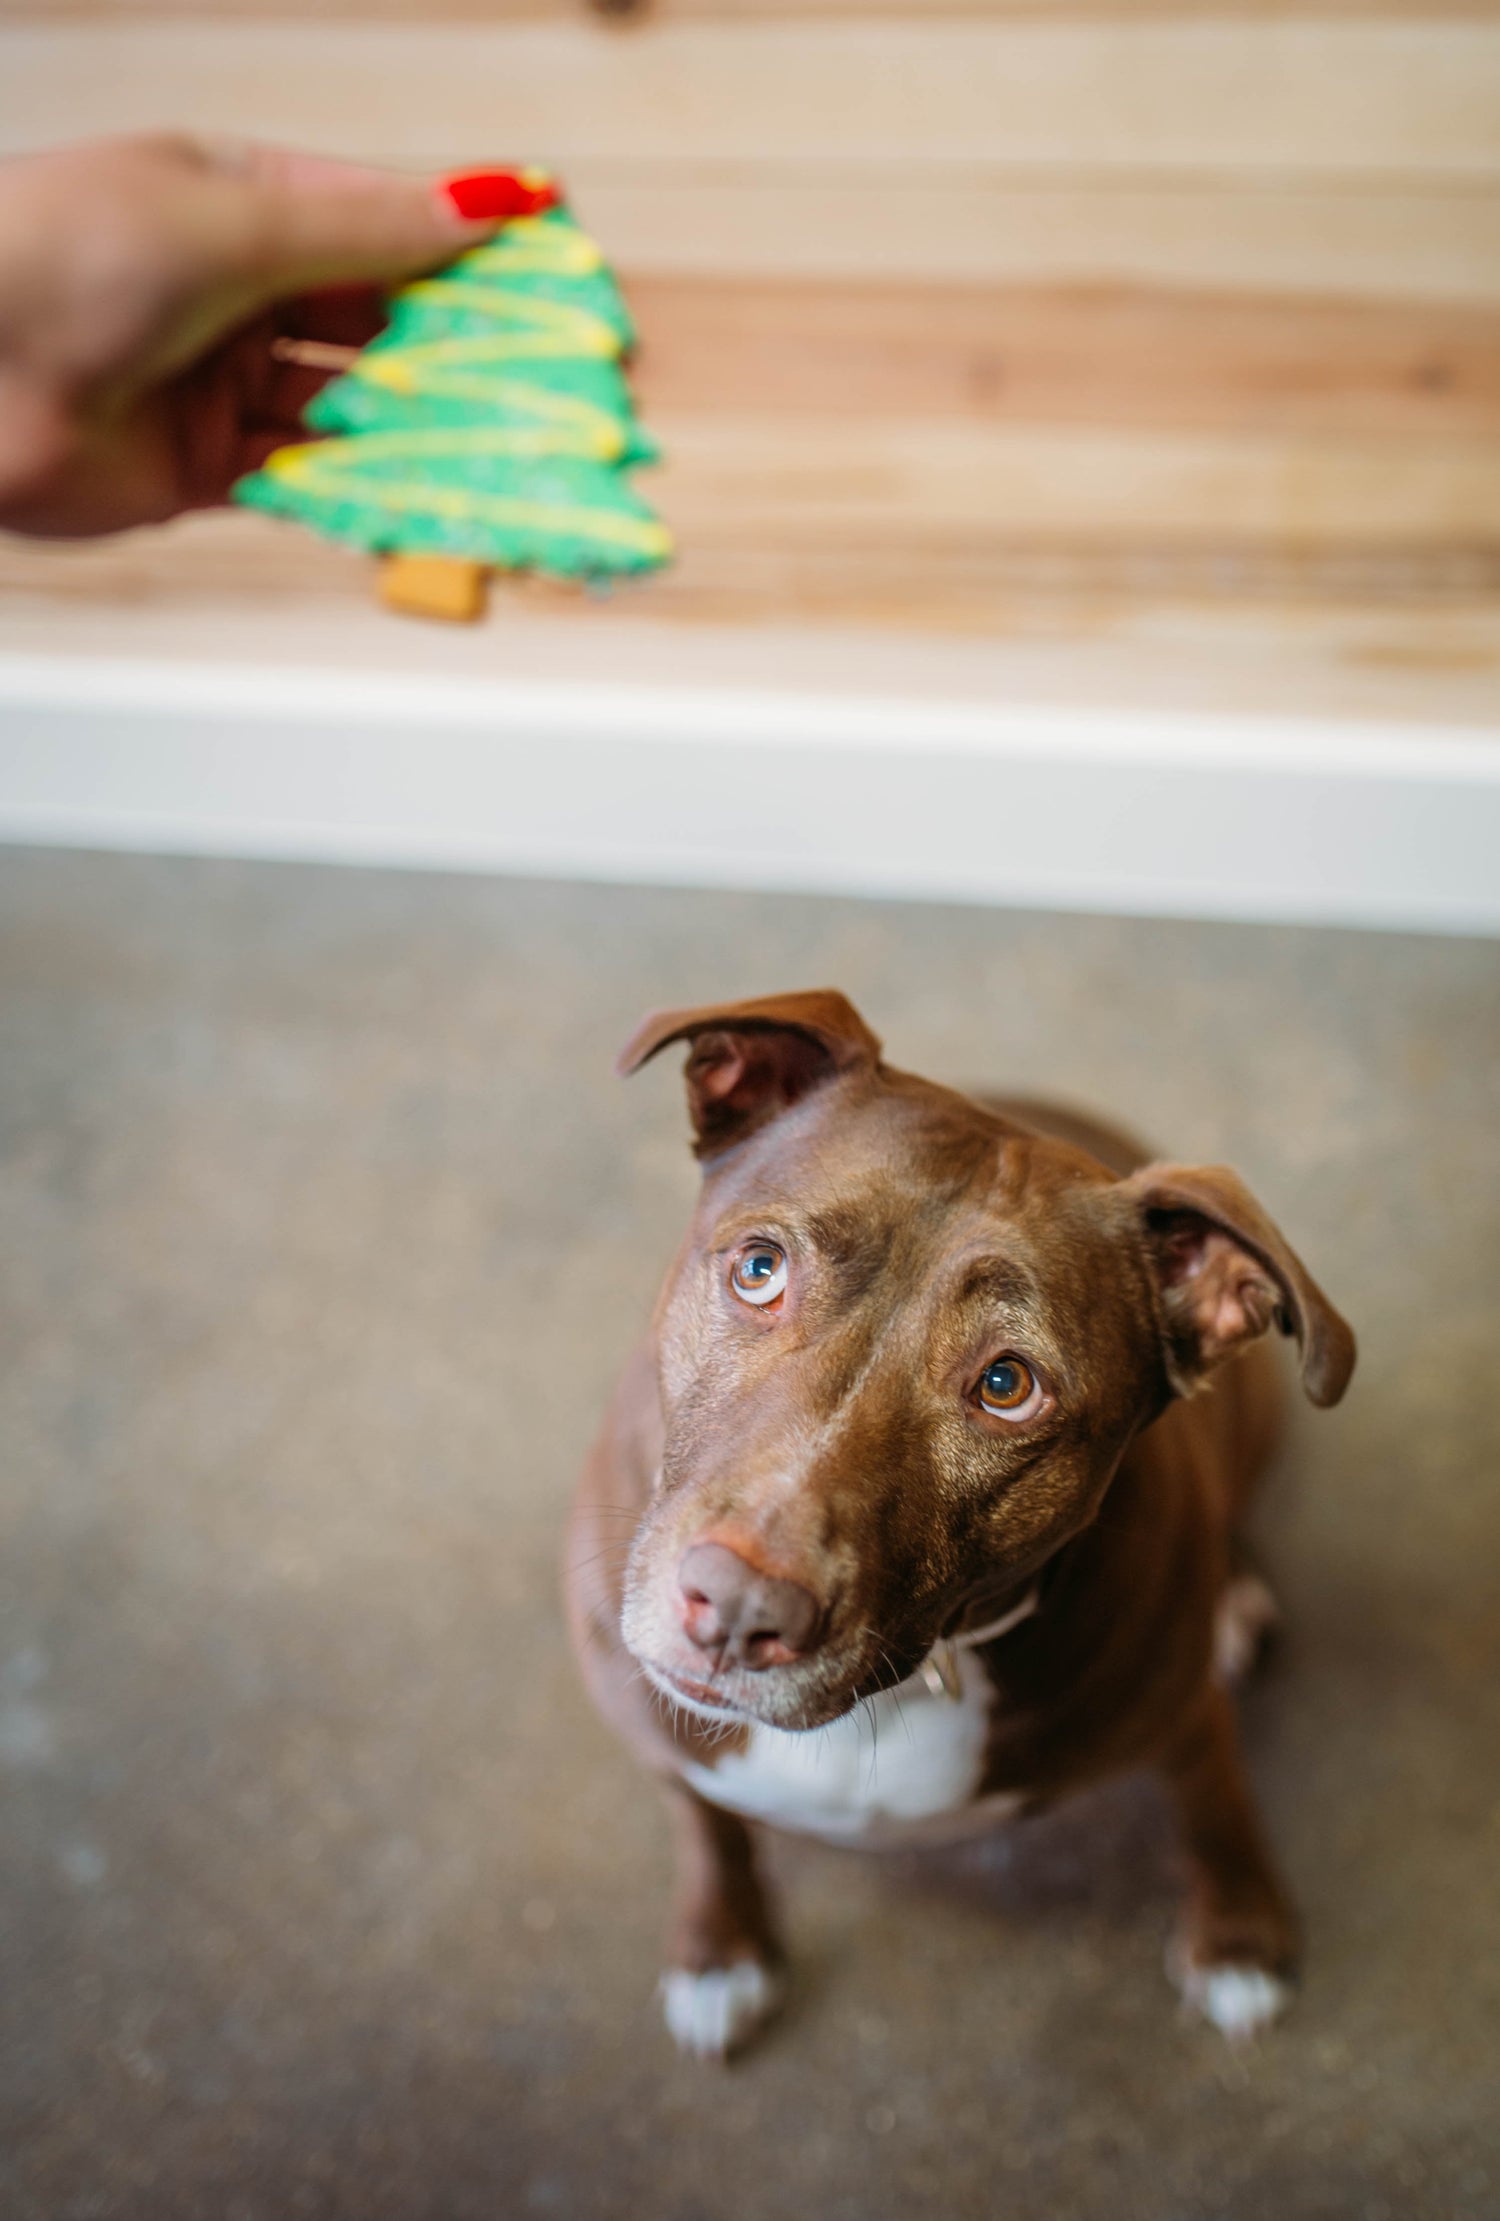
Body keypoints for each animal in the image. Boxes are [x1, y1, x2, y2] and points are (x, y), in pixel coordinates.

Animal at [566, 995, 1360, 2061]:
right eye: (760, 1270)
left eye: (1006, 1385)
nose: (735, 1609)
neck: (914, 1679)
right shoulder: (654, 1733)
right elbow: (708, 1829)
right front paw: (720, 1953)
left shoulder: (1186, 1715)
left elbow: (1215, 1807)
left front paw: (1240, 1939)